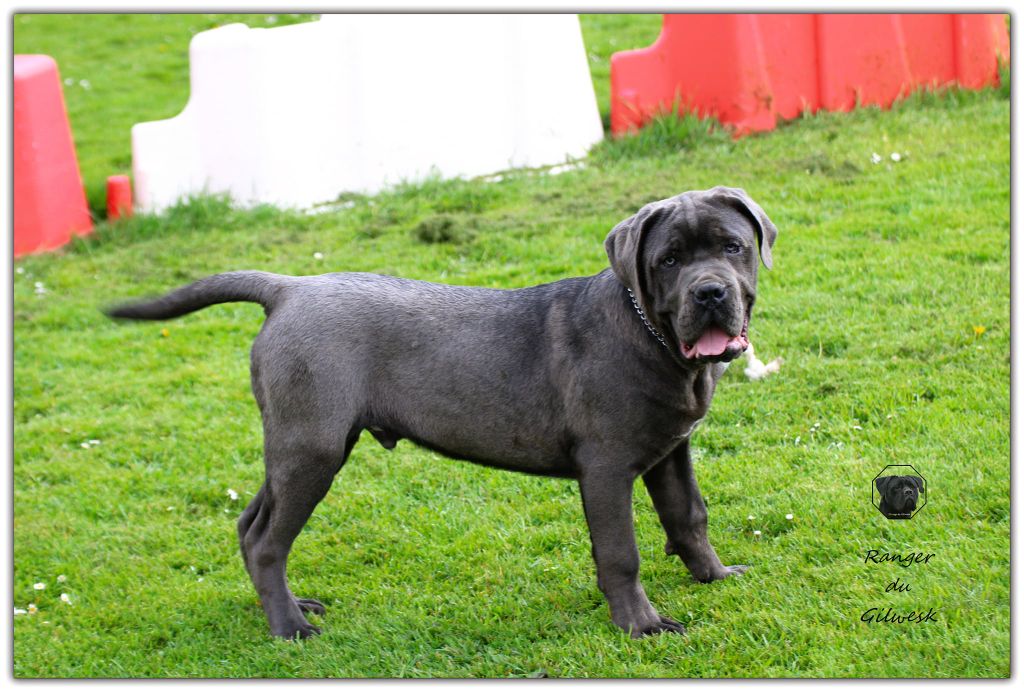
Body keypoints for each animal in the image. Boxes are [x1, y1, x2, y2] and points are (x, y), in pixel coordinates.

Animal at [106, 186, 777, 639]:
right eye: (668, 261)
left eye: (732, 247)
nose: (710, 292)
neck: (652, 338)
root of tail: (288, 288)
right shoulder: (607, 467)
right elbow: (621, 552)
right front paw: (641, 626)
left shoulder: (671, 450)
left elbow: (689, 516)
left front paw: (715, 576)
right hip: (312, 448)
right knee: (269, 540)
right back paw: (291, 628)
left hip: (299, 445)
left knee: (250, 525)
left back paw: (293, 608)